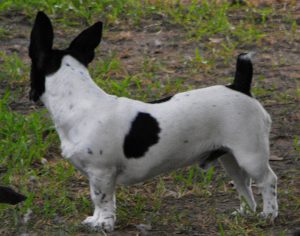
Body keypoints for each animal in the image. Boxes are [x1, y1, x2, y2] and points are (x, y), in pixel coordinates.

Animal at [29, 11, 278, 232]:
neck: (81, 104)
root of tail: (240, 86)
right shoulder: (100, 176)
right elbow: (103, 200)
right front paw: (96, 220)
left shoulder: (101, 173)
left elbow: (102, 200)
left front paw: (103, 224)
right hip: (230, 158)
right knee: (244, 185)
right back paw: (246, 213)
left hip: (250, 156)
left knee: (268, 180)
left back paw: (269, 215)